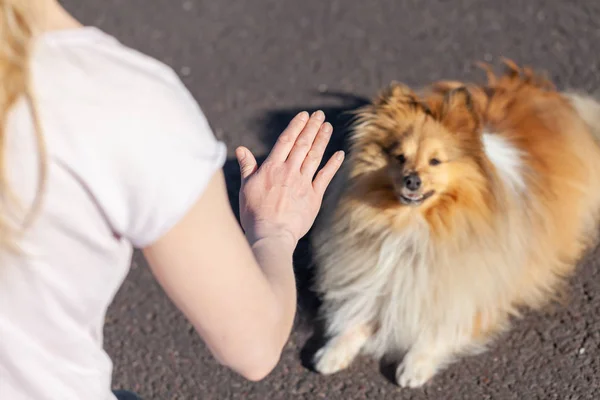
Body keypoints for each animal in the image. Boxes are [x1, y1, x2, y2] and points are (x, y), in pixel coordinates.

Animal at [310, 61, 600, 388]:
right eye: (399, 157)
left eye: (436, 161)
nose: (412, 181)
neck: (413, 226)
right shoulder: (378, 278)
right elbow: (358, 310)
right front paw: (332, 352)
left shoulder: (472, 292)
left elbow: (441, 327)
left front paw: (414, 365)